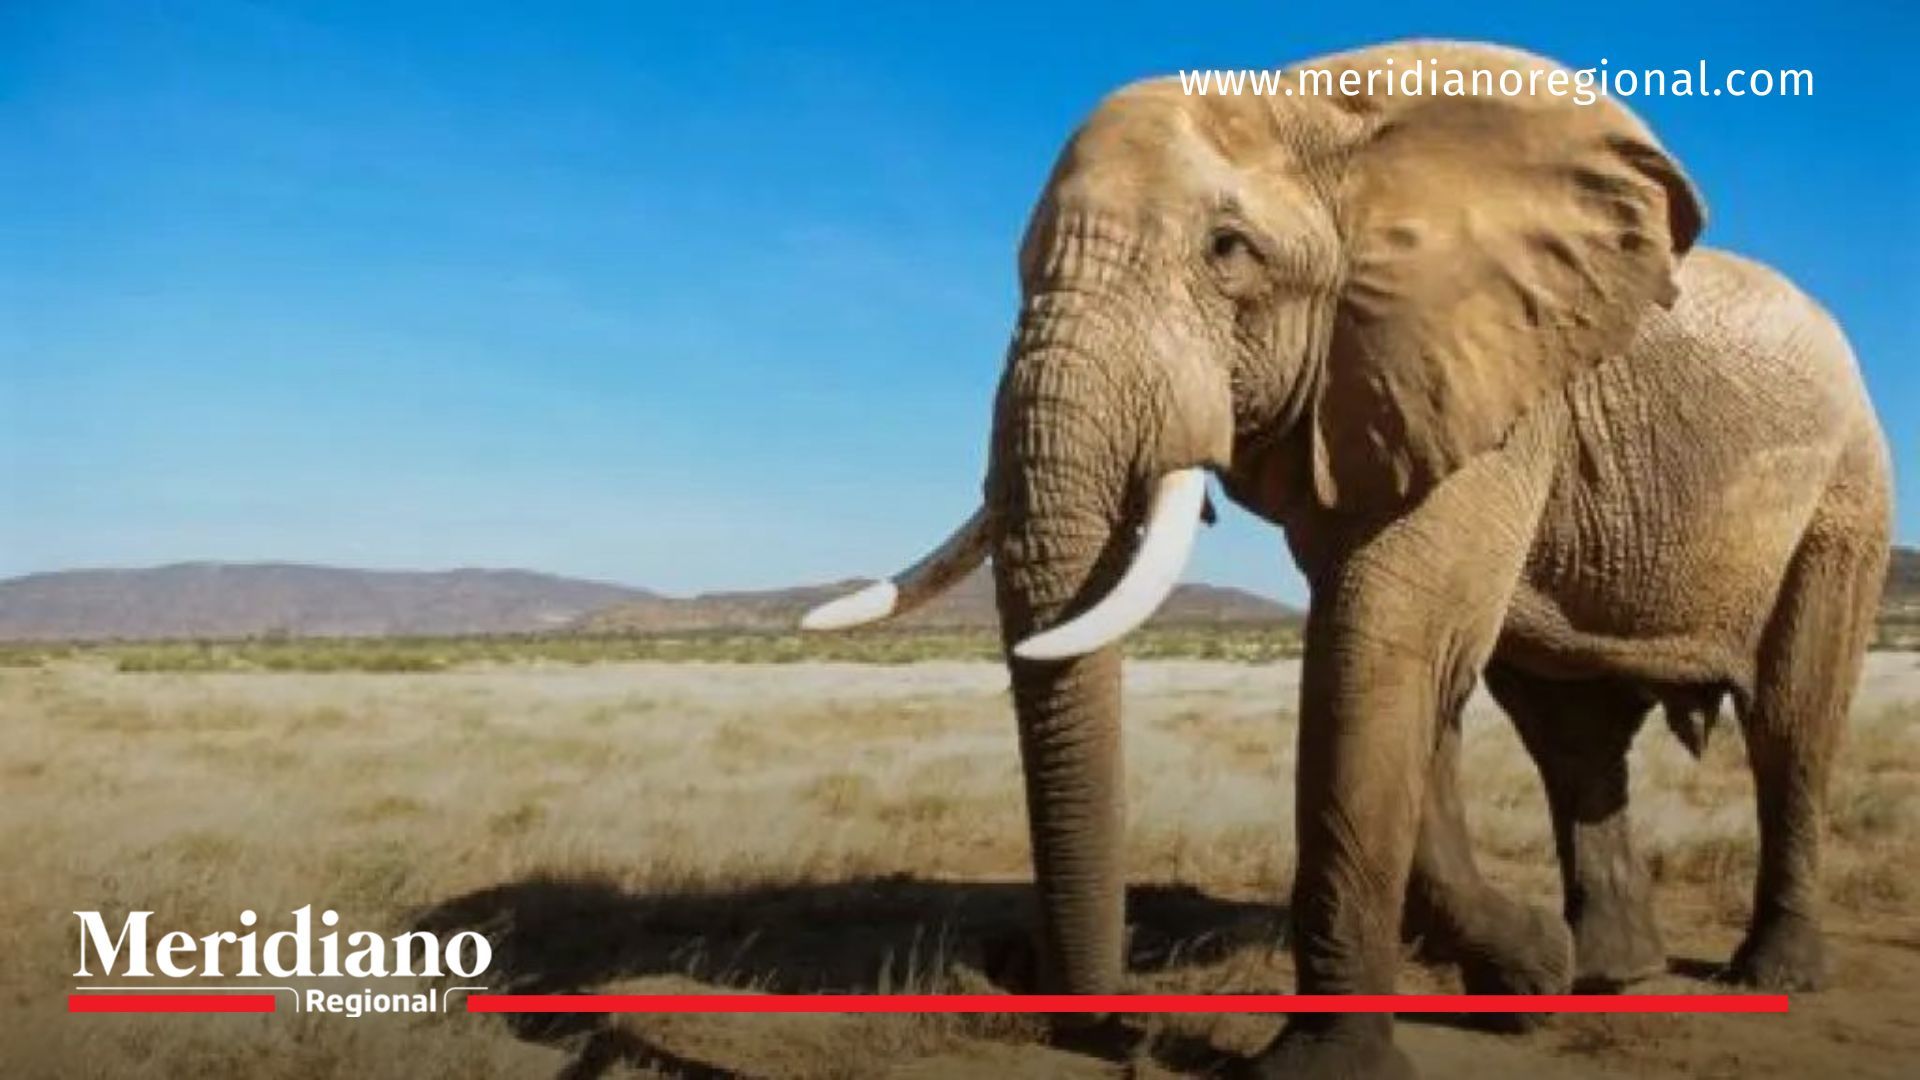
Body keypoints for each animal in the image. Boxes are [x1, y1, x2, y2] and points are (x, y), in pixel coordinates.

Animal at [797, 41, 1893, 1078]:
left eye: (1228, 251)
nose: (1113, 1024)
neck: (1323, 116)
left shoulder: (1483, 384)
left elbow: (1382, 649)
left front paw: (1328, 1067)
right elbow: (1404, 669)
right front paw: (1526, 972)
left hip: (1847, 495)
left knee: (1792, 718)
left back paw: (1772, 973)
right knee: (1571, 738)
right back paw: (1610, 973)